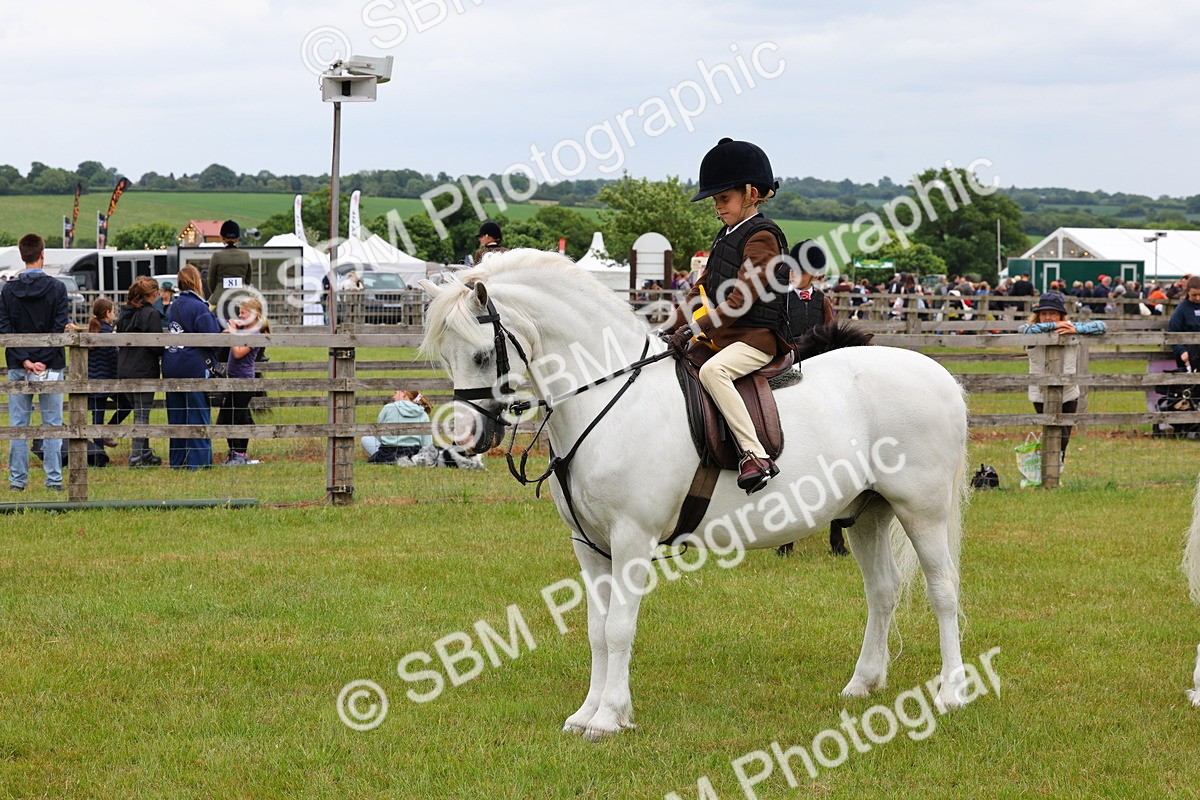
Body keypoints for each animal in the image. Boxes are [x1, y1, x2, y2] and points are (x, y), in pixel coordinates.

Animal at [419, 249, 971, 739]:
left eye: (482, 354)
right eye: (447, 357)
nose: (466, 436)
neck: (609, 397)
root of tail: (939, 374)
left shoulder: (631, 539)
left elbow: (619, 628)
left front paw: (609, 718)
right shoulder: (589, 545)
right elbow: (597, 629)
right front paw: (586, 713)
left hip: (921, 511)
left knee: (942, 591)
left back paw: (950, 692)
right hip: (868, 513)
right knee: (882, 591)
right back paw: (863, 684)